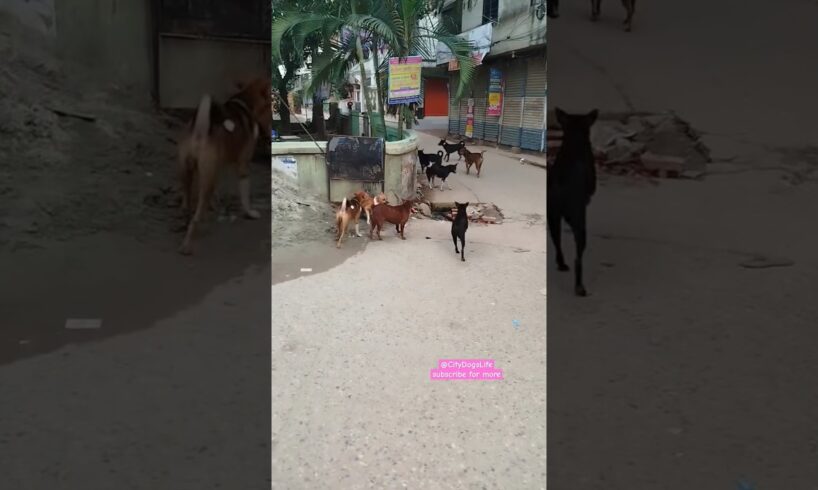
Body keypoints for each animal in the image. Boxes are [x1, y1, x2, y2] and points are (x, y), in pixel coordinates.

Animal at [177, 75, 270, 256]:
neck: (245, 100)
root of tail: (200, 131)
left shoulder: (219, 166)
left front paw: (217, 205)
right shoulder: (243, 165)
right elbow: (245, 196)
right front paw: (249, 213)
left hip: (188, 173)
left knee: (187, 206)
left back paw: (186, 224)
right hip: (207, 179)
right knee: (196, 217)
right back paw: (187, 245)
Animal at [544, 107, 596, 296]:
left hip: (553, 217)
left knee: (557, 242)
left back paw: (561, 263)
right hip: (579, 222)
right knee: (578, 258)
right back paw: (579, 286)